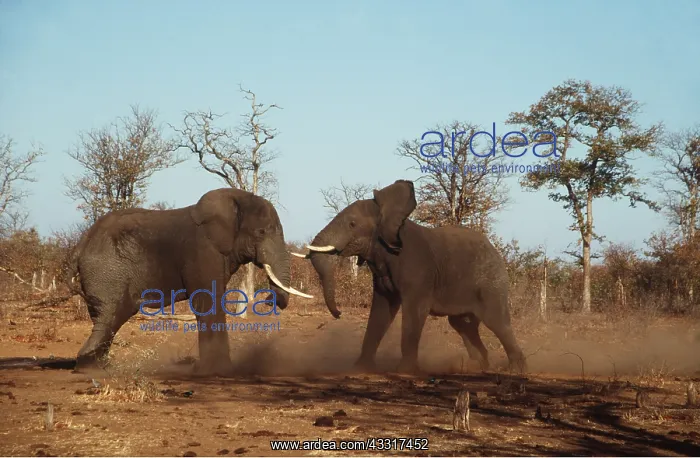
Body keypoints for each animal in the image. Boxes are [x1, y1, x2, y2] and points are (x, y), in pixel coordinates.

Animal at [65, 188, 312, 375]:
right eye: (261, 232)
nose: (269, 300)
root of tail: (81, 244)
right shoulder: (202, 250)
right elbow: (207, 300)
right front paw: (217, 372)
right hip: (107, 270)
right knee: (109, 315)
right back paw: (89, 368)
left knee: (110, 318)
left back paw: (98, 366)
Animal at [292, 179, 526, 374]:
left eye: (352, 224)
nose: (339, 314)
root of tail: (495, 250)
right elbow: (381, 311)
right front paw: (359, 369)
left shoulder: (417, 268)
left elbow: (415, 310)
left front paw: (404, 371)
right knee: (462, 324)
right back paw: (476, 366)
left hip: (491, 282)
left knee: (496, 320)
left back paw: (515, 369)